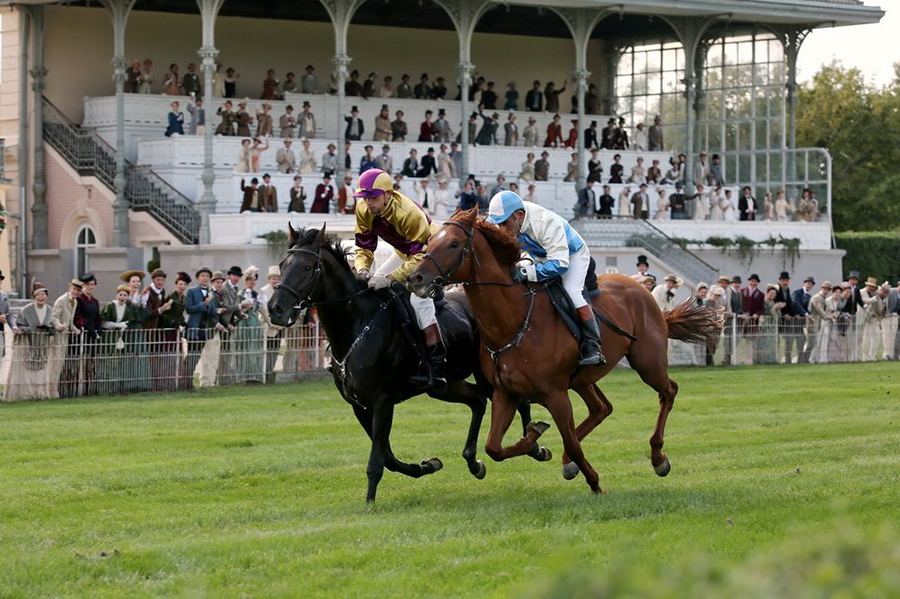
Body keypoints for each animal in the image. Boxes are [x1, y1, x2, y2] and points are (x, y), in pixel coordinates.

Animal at [266, 227, 548, 504]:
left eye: (306, 267)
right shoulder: (359, 405)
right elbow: (388, 457)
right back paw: (473, 461)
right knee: (477, 400)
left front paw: (370, 502)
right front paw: (427, 465)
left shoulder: (383, 400)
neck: (359, 323)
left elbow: (377, 459)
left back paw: (534, 447)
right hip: (443, 386)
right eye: (282, 264)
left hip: (487, 376)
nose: (275, 309)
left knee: (517, 402)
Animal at [410, 209, 724, 494]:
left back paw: (658, 457)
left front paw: (594, 482)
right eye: (430, 241)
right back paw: (569, 461)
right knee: (601, 408)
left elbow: (570, 442)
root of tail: (643, 291)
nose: (416, 278)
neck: (513, 323)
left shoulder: (555, 394)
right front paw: (537, 440)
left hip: (647, 362)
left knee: (668, 391)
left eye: (453, 243)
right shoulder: (505, 393)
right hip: (584, 378)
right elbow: (494, 448)